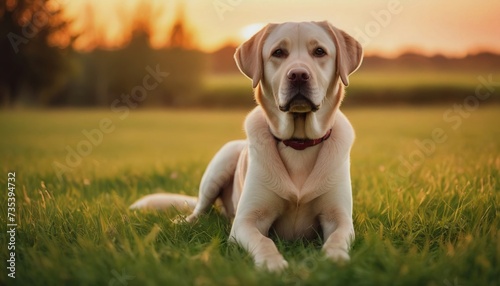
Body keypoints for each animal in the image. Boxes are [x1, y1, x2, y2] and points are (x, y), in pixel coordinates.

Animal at [131, 21, 362, 272]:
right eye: (278, 52)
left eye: (319, 51)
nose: (298, 75)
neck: (298, 143)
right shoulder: (247, 220)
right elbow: (264, 241)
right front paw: (272, 264)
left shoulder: (339, 218)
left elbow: (337, 238)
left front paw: (336, 259)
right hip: (221, 162)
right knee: (199, 210)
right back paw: (182, 222)